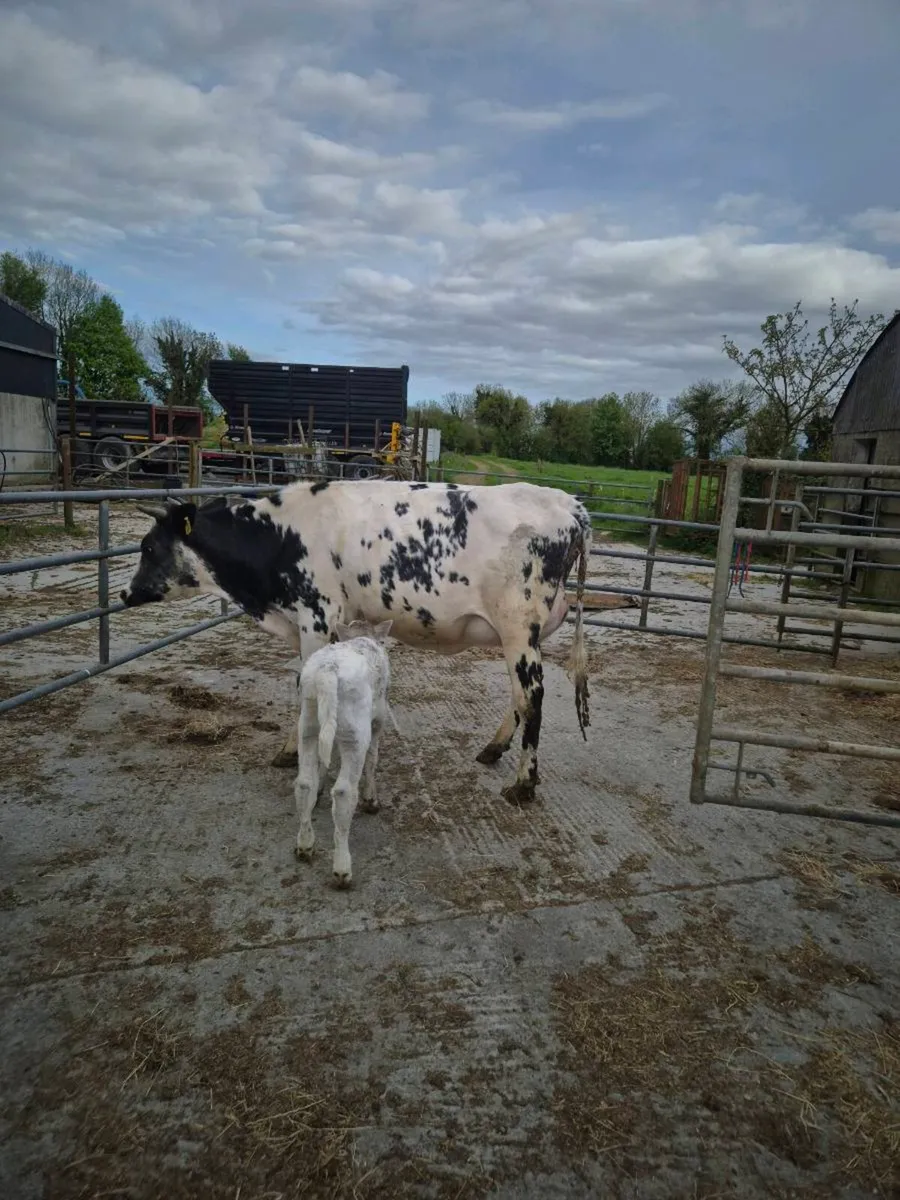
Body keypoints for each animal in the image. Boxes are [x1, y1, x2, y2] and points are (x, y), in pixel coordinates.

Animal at [121, 478, 591, 804]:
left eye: (149, 547)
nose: (126, 594)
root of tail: (570, 505)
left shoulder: (315, 614)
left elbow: (304, 687)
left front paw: (292, 753)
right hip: (524, 635)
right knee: (520, 696)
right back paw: (492, 749)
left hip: (518, 627)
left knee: (532, 696)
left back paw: (523, 784)